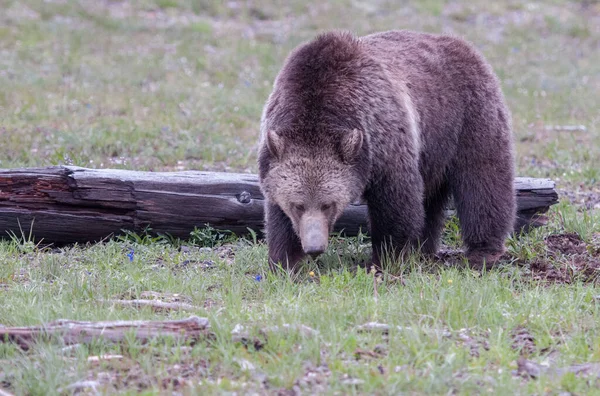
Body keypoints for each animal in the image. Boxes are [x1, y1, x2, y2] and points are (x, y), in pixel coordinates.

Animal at [256, 30, 516, 272]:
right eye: (297, 205)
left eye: (328, 204)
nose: (314, 247)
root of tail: (463, 44)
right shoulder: (277, 146)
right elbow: (277, 216)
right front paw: (286, 262)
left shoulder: (382, 137)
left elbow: (396, 202)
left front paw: (386, 259)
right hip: (433, 149)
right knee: (431, 199)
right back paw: (424, 248)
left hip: (467, 116)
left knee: (482, 181)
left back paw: (482, 251)